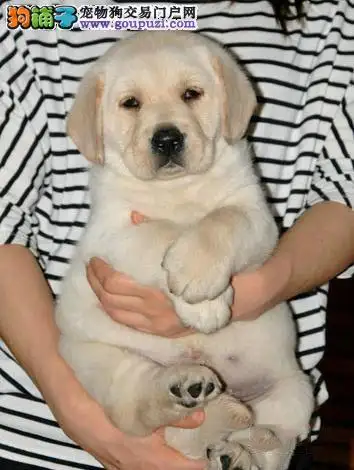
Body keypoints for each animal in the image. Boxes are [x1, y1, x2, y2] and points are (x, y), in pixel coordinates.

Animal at [56, 32, 314, 470]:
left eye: (191, 94)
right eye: (131, 103)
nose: (167, 138)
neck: (177, 189)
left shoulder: (257, 216)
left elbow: (223, 220)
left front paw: (199, 281)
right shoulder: (113, 233)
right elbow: (161, 233)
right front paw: (204, 300)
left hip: (294, 391)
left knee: (271, 445)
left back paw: (241, 445)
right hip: (89, 355)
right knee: (141, 409)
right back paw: (187, 391)